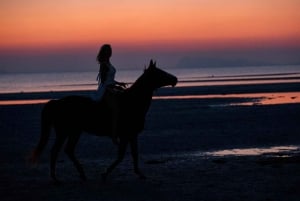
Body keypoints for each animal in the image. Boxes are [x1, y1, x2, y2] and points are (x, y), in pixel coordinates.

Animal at [29, 60, 177, 184]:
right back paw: (56, 178)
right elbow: (121, 156)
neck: (131, 102)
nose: (175, 79)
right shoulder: (125, 136)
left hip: (75, 132)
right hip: (64, 133)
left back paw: (82, 175)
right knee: (55, 151)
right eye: (160, 72)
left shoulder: (132, 135)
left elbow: (134, 154)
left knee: (68, 150)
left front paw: (139, 174)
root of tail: (57, 102)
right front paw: (105, 174)